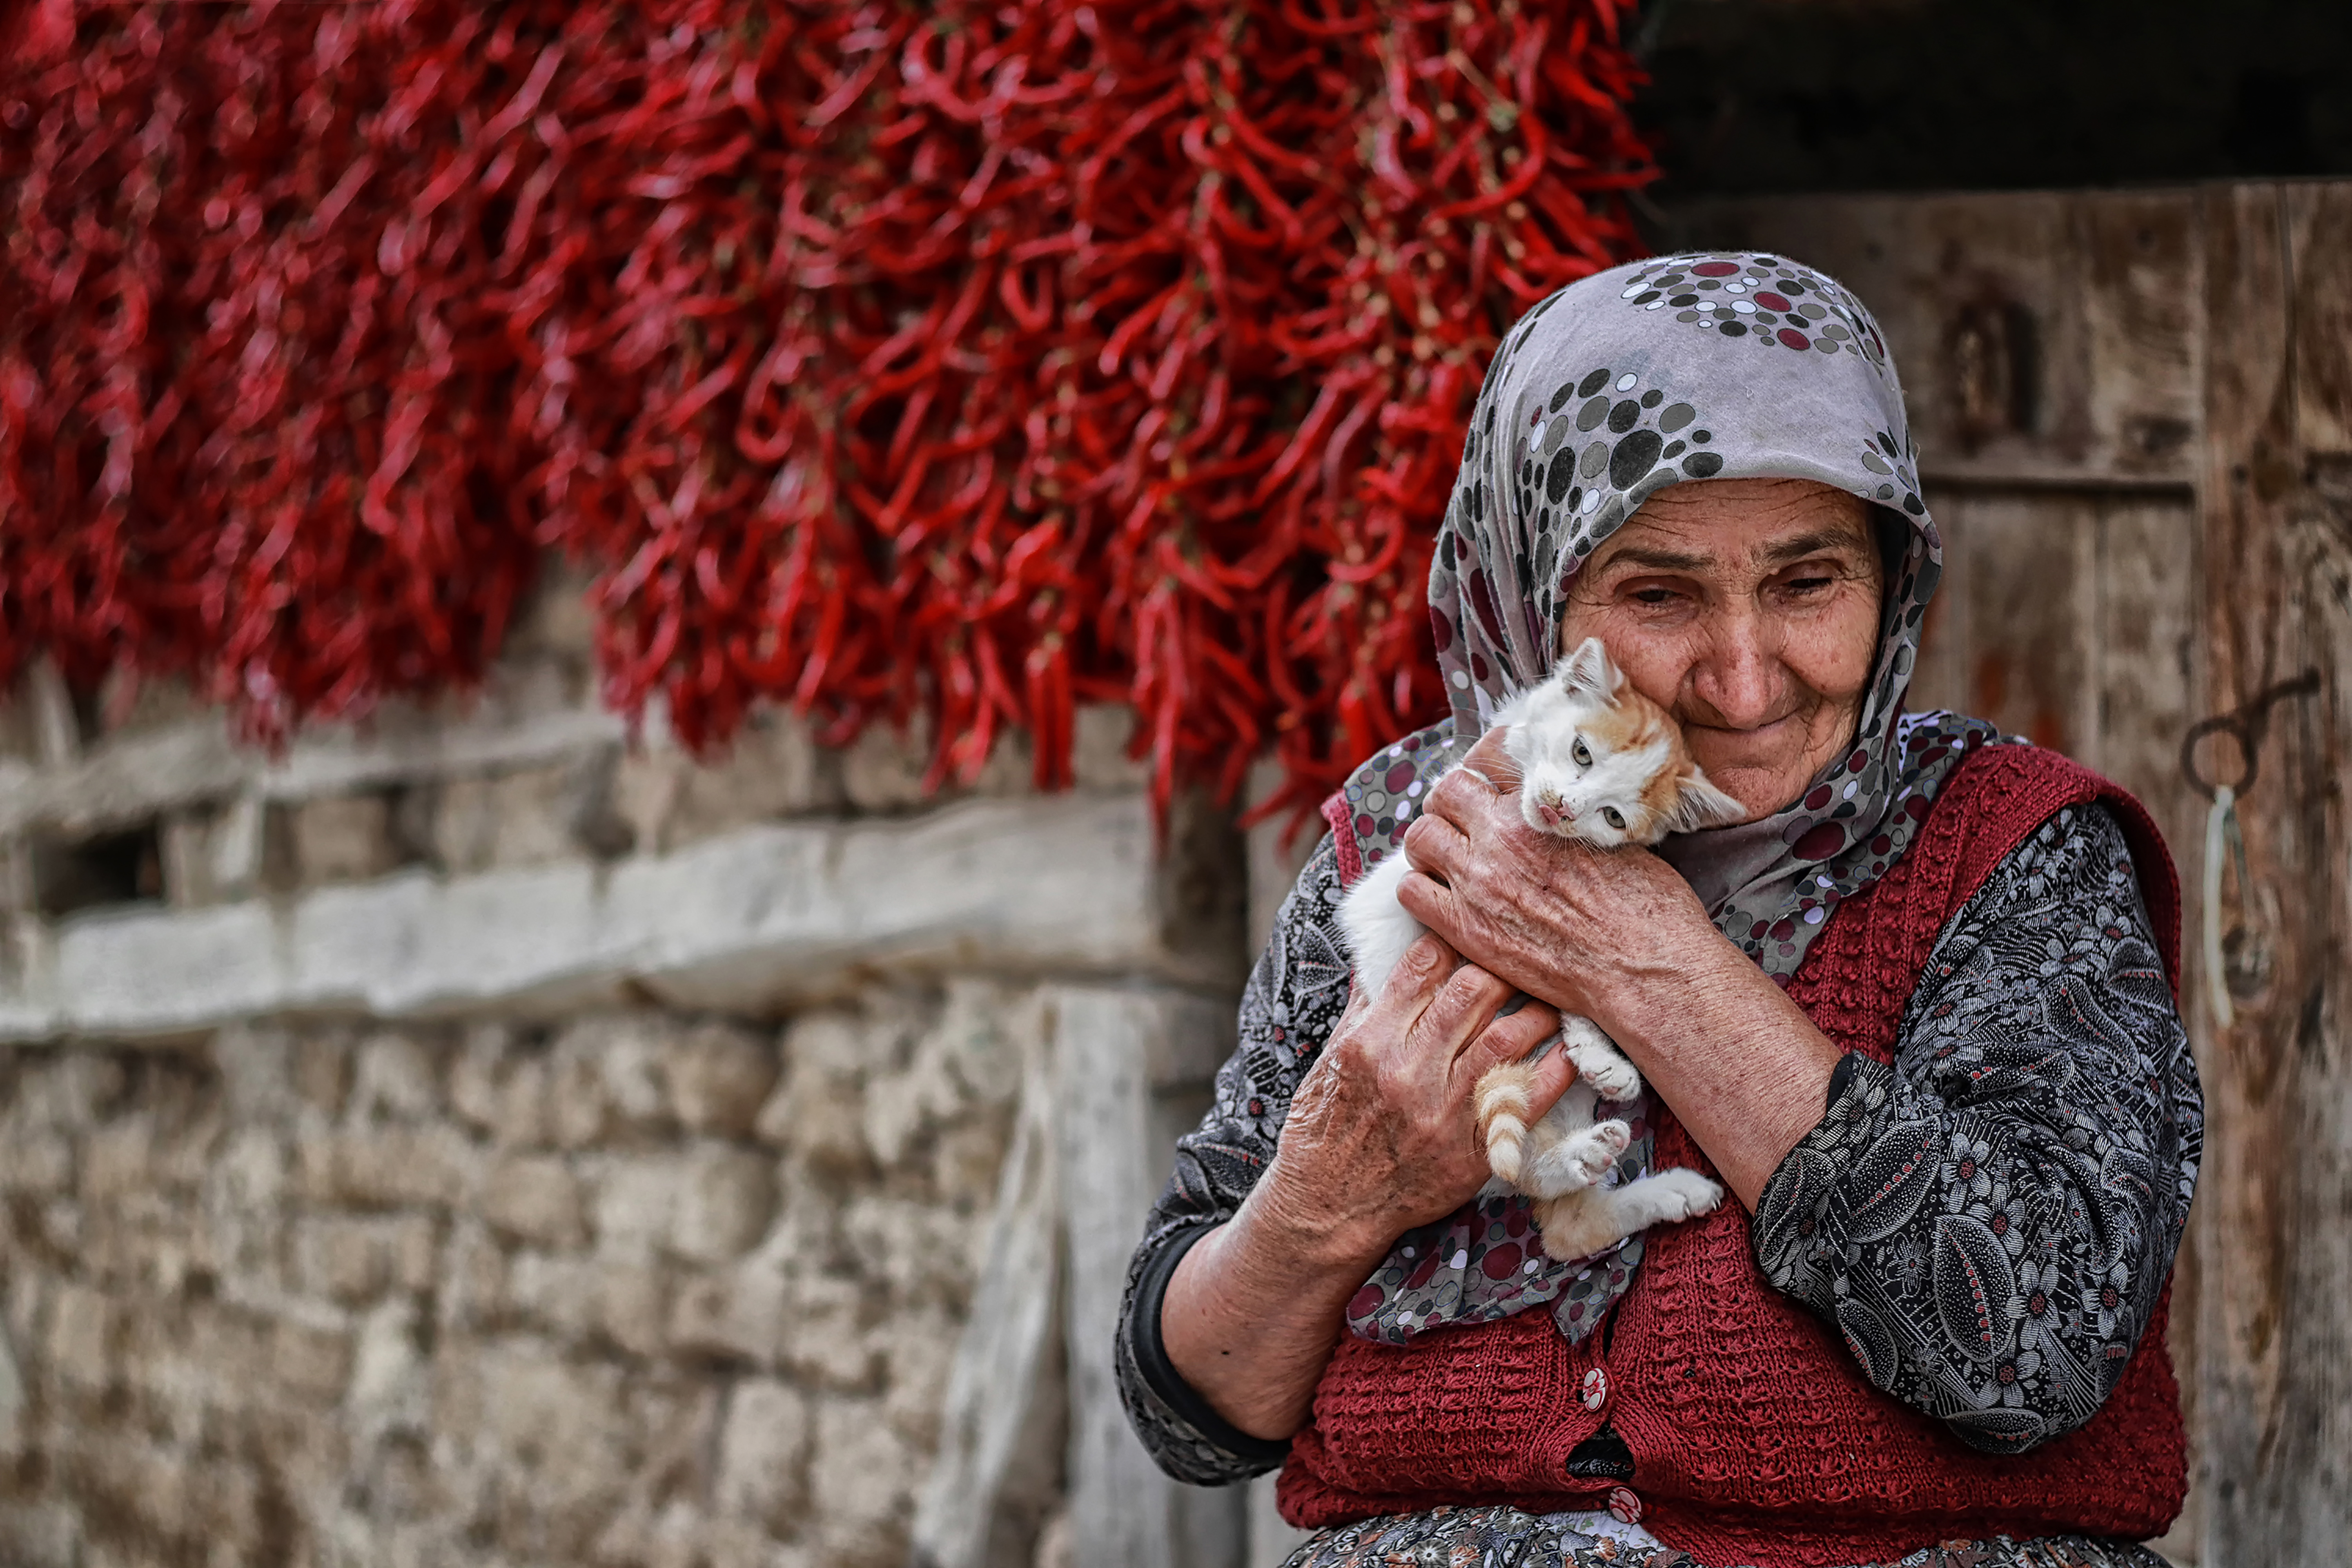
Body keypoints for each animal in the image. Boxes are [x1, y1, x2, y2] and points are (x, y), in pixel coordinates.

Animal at [1345, 639, 1750, 1260]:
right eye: (1581, 752)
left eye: (1613, 816)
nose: (1562, 807)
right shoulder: (1419, 881)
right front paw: (1598, 1051)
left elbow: (1568, 982)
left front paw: (1598, 1051)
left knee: (1562, 1222)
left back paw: (1631, 1168)